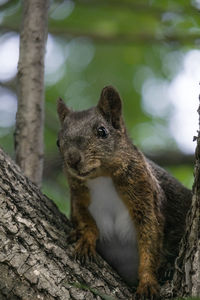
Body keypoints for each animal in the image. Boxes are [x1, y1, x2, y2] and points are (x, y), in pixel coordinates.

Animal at [56, 85, 192, 298]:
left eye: (102, 131)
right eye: (57, 142)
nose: (72, 160)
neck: (101, 179)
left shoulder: (147, 198)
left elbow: (150, 240)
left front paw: (147, 282)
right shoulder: (78, 199)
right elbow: (85, 221)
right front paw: (85, 239)